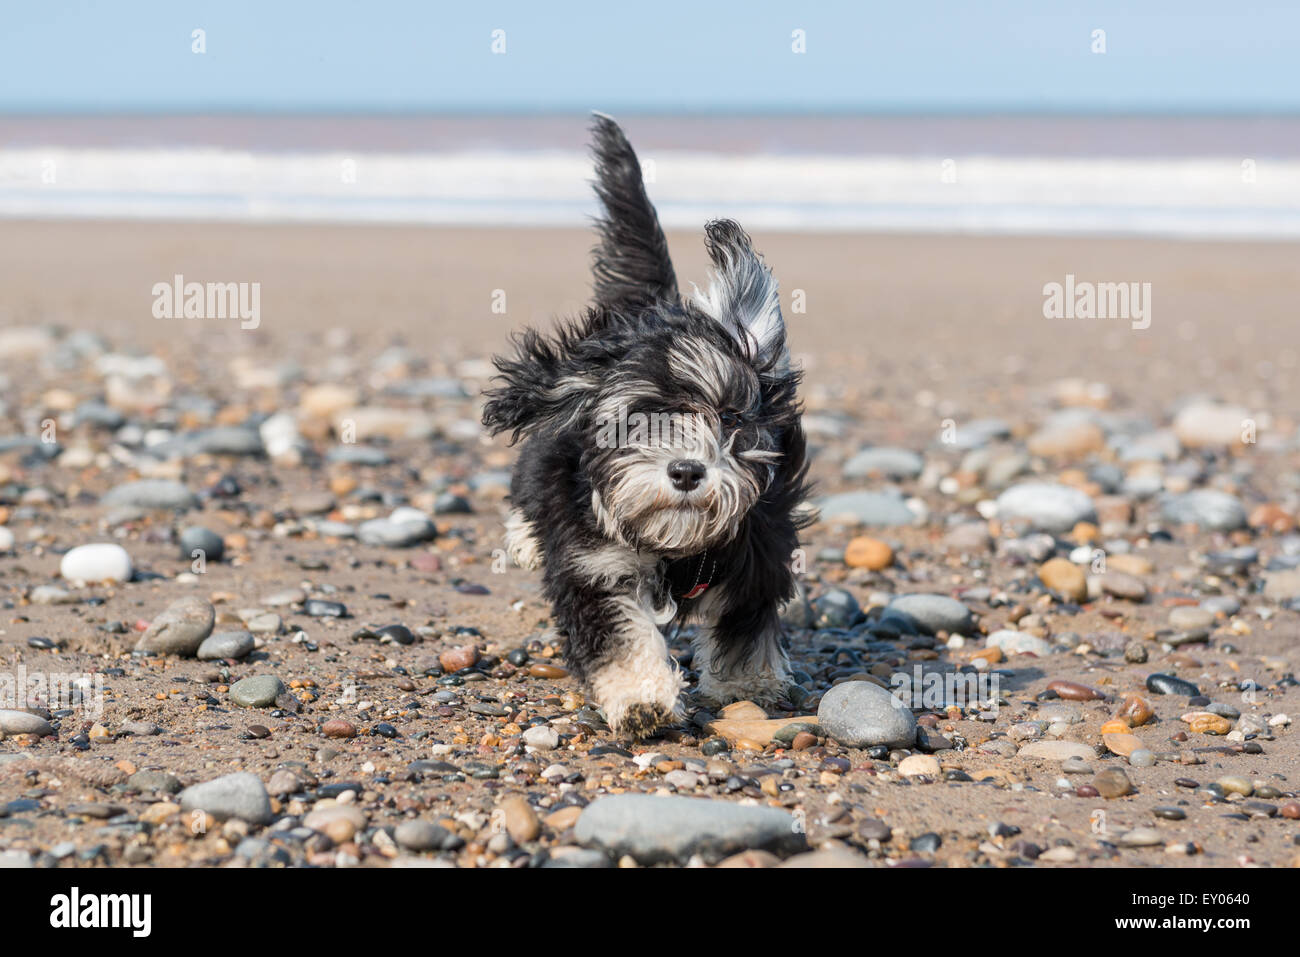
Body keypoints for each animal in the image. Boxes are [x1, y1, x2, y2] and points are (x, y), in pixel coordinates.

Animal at [483, 113, 806, 738]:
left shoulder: (761, 549)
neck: (679, 547)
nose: (686, 471)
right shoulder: (592, 566)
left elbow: (745, 622)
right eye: (639, 418)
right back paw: (525, 541)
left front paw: (746, 683)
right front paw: (640, 697)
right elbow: (619, 634)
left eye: (729, 416)